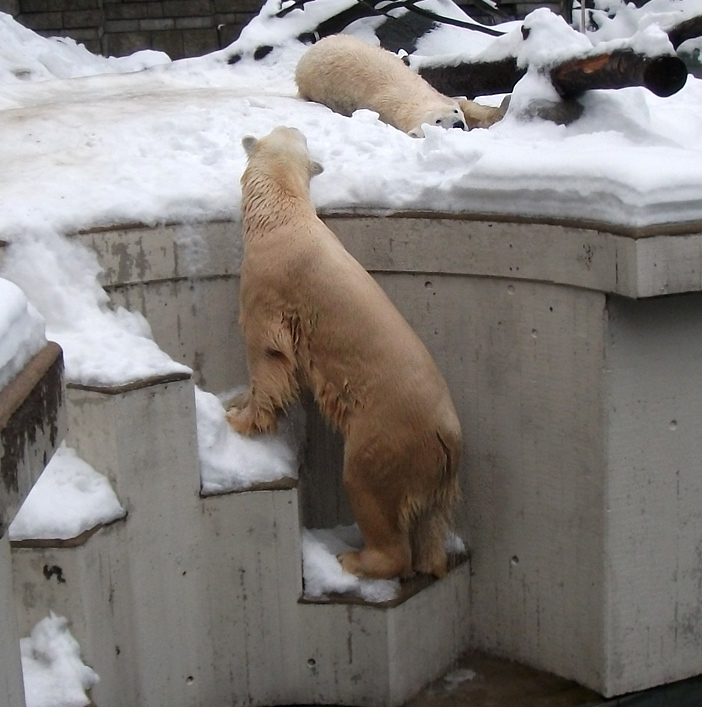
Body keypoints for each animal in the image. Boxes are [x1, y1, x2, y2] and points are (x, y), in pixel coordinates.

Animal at [228, 126, 464, 580]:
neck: (281, 214)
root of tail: (446, 439)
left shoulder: (269, 285)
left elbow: (268, 354)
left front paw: (241, 419)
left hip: (387, 435)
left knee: (367, 486)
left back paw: (355, 559)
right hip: (437, 475)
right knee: (432, 517)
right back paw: (432, 560)